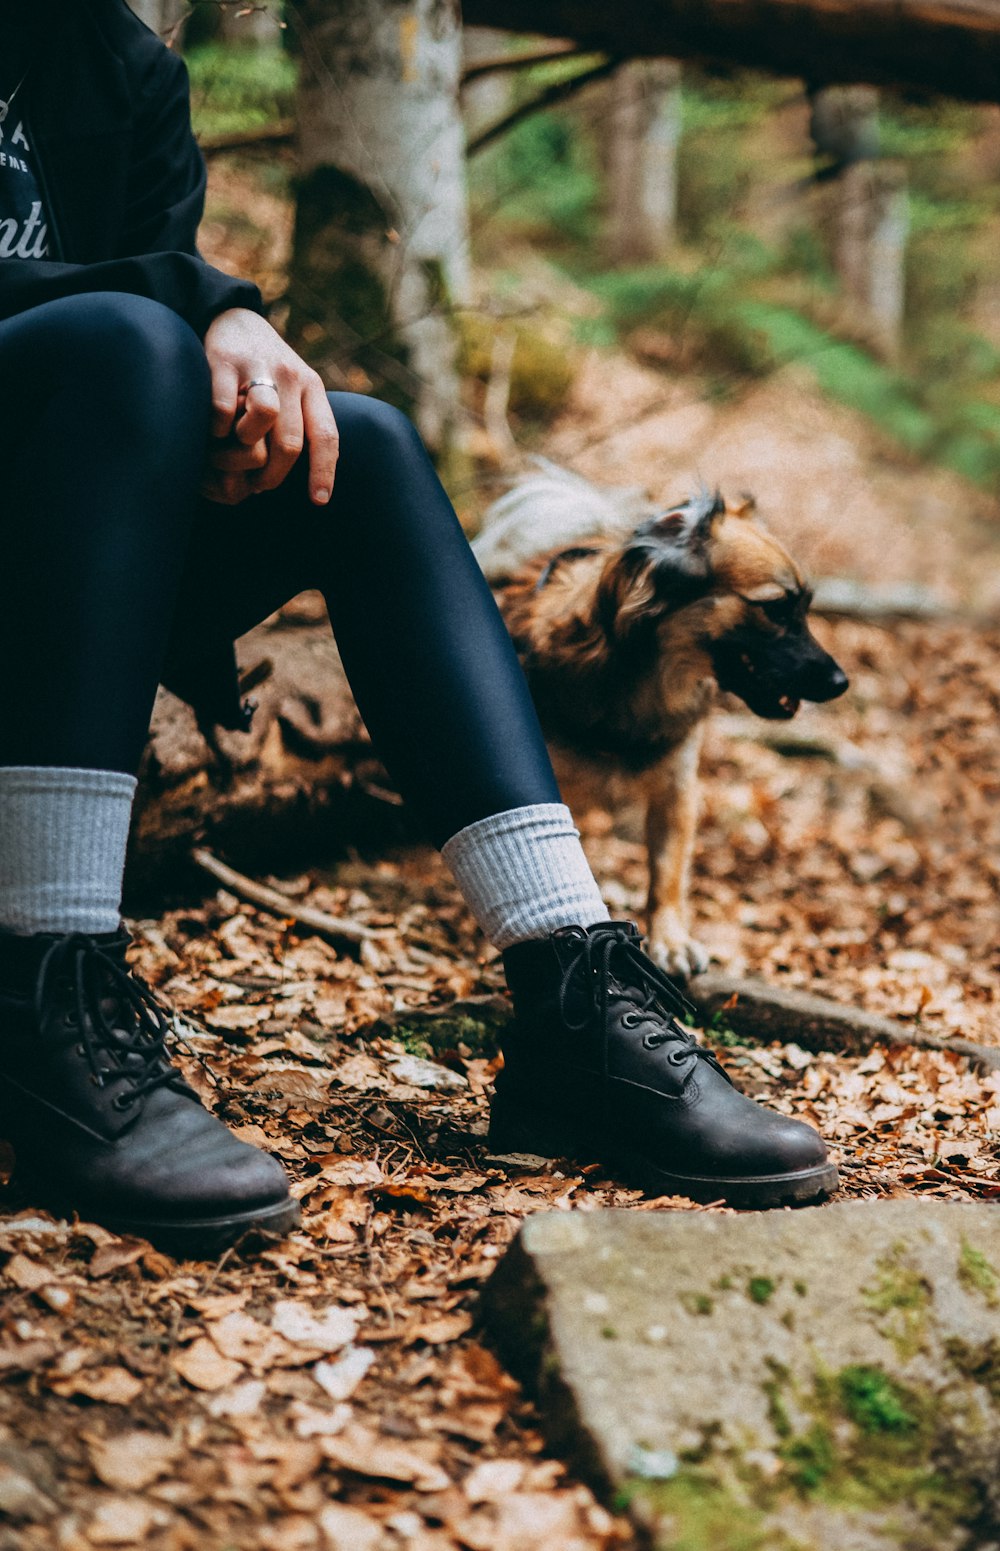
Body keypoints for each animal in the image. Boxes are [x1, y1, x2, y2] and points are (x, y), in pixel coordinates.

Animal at [471, 462, 843, 967]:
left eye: (805, 608)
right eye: (774, 608)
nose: (841, 682)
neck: (642, 687)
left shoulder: (677, 788)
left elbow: (666, 873)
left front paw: (670, 939)